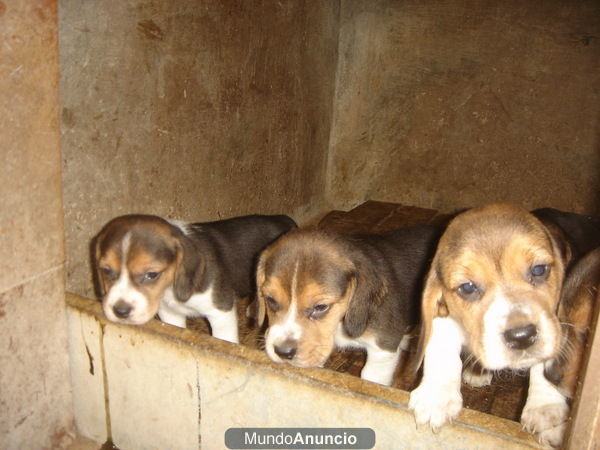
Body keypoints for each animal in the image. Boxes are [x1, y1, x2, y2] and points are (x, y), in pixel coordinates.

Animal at [93, 213, 296, 342]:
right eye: (106, 270)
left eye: (152, 274)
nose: (120, 311)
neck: (170, 290)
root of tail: (283, 218)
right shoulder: (170, 314)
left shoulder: (220, 312)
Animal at [255, 227, 438, 384]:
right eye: (270, 300)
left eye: (320, 307)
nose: (283, 352)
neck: (340, 321)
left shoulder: (383, 347)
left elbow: (370, 376)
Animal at [410, 204, 568, 446]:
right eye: (467, 287)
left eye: (539, 270)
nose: (522, 336)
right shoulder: (444, 313)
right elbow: (441, 349)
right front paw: (436, 397)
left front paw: (545, 405)